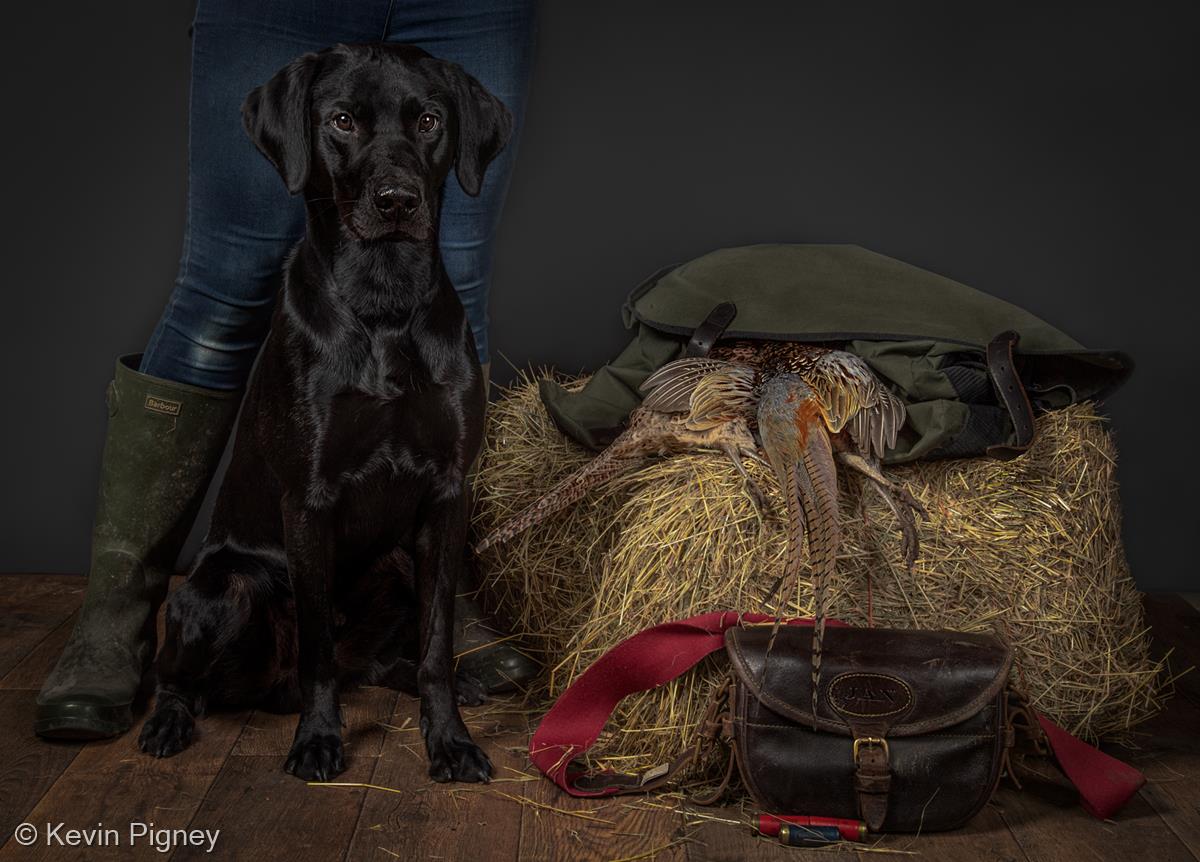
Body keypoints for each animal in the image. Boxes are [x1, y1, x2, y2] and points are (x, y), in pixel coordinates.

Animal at [137, 43, 511, 787]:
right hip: (220, 588)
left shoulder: (445, 495)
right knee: (186, 675)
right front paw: (317, 741)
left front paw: (450, 740)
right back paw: (168, 721)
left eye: (428, 120)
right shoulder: (308, 501)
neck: (384, 298)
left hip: (396, 563)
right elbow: (316, 647)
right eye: (342, 120)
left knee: (376, 659)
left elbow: (435, 643)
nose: (397, 200)